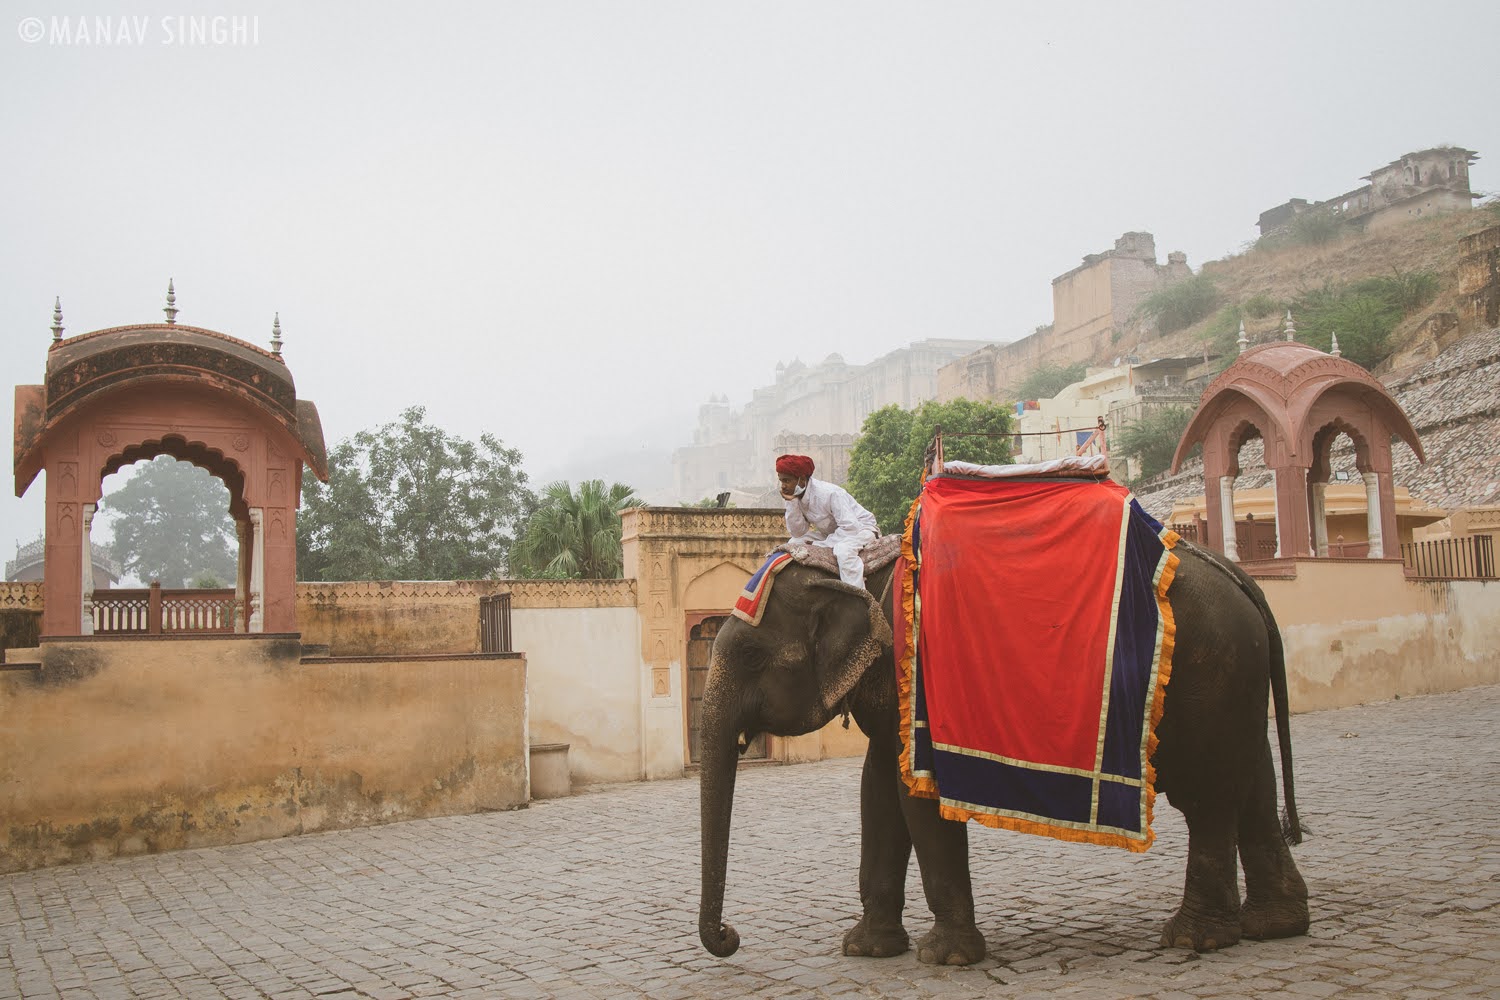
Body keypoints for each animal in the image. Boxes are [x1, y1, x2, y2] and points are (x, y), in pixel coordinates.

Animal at [696, 542, 1308, 965]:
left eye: (751, 655)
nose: (731, 936)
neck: (859, 574)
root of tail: (1240, 579)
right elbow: (878, 793)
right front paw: (867, 950)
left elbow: (916, 798)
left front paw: (946, 959)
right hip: (1232, 678)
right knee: (1251, 783)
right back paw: (1273, 926)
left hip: (1209, 671)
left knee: (1208, 797)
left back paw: (1195, 938)